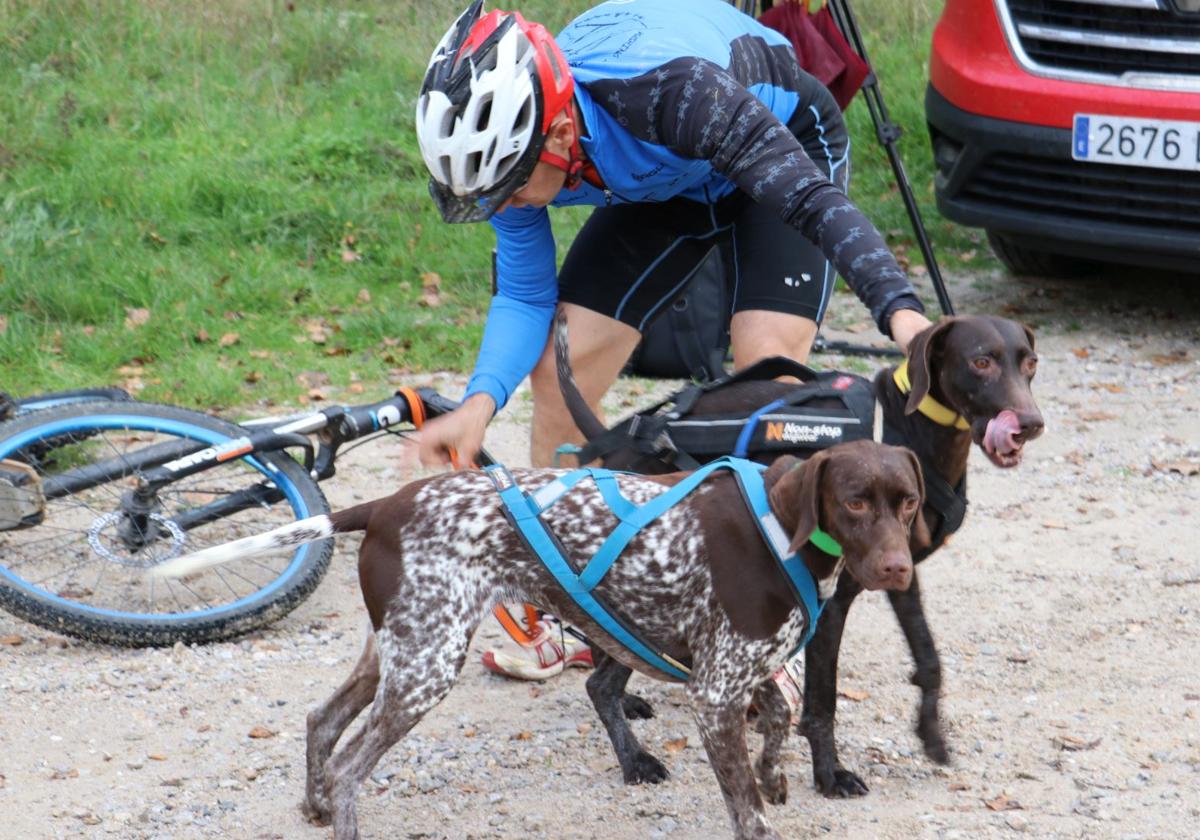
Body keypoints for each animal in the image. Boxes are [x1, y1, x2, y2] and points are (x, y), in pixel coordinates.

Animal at [157, 436, 926, 835]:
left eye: (908, 501)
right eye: (855, 502)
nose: (898, 568)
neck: (782, 530)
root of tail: (387, 503)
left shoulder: (739, 673)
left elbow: (783, 716)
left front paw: (777, 778)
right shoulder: (713, 694)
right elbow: (747, 805)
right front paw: (763, 795)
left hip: (400, 651)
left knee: (322, 722)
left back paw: (315, 807)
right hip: (427, 666)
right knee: (350, 764)